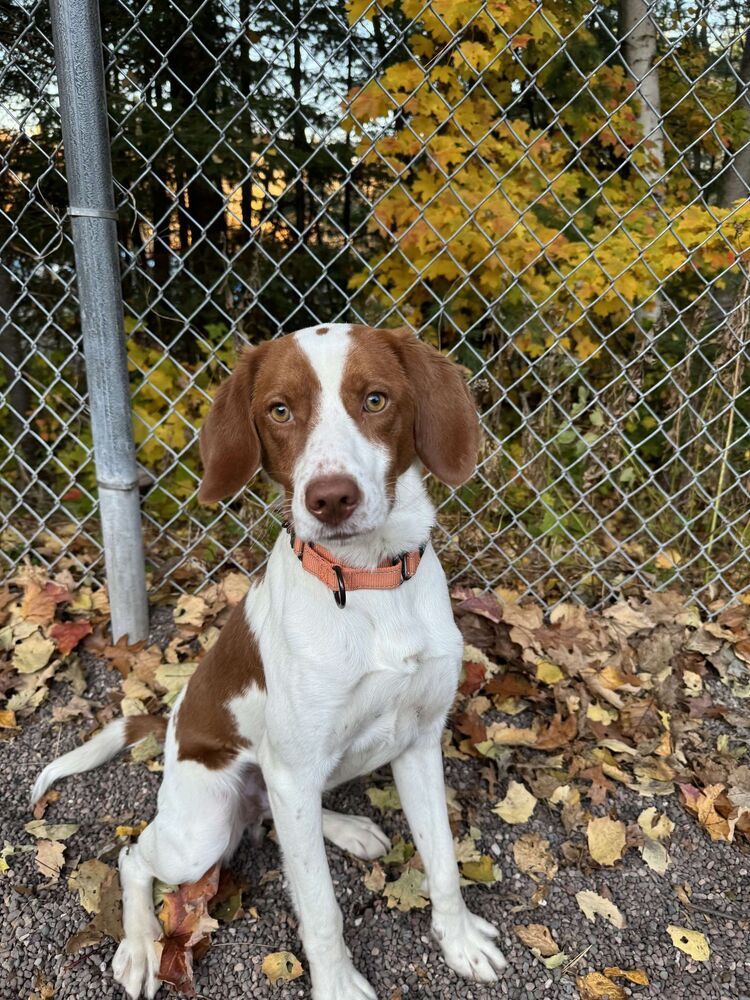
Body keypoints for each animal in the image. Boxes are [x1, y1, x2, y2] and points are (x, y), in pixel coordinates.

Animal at [32, 324, 508, 996]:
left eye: (376, 399)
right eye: (279, 411)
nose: (330, 499)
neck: (367, 584)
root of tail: (172, 725)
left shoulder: (418, 744)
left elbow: (441, 860)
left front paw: (460, 940)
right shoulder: (297, 770)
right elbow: (321, 907)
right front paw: (338, 984)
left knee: (279, 821)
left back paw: (348, 828)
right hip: (203, 827)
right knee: (136, 854)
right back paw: (140, 946)